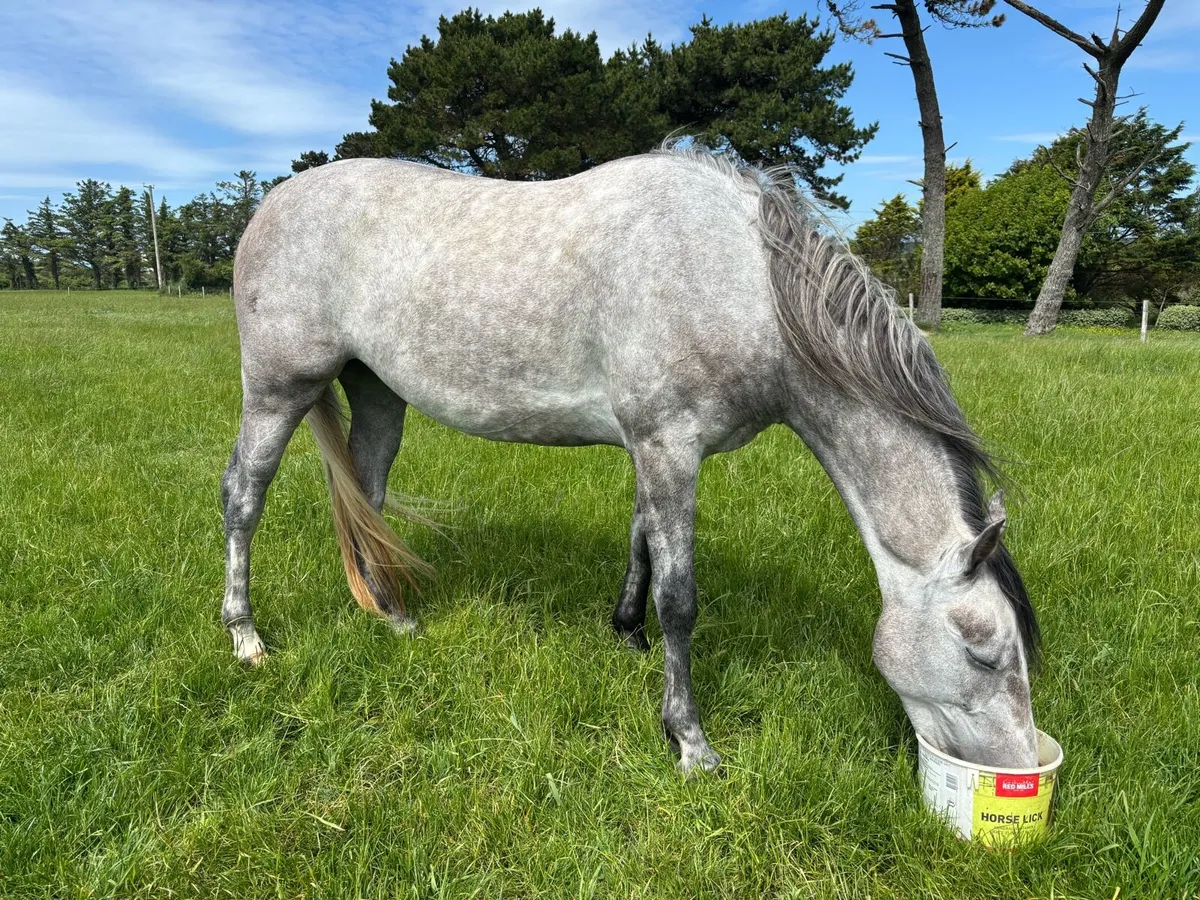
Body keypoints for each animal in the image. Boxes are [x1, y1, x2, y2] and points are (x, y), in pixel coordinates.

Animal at [221, 149, 1040, 773]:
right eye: (984, 655)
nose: (1024, 768)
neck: (745, 282)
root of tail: (269, 204)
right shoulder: (671, 445)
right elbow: (681, 597)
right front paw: (690, 742)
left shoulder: (652, 447)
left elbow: (642, 540)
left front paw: (626, 635)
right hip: (278, 388)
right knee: (244, 497)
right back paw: (247, 638)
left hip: (378, 393)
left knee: (367, 496)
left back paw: (391, 617)